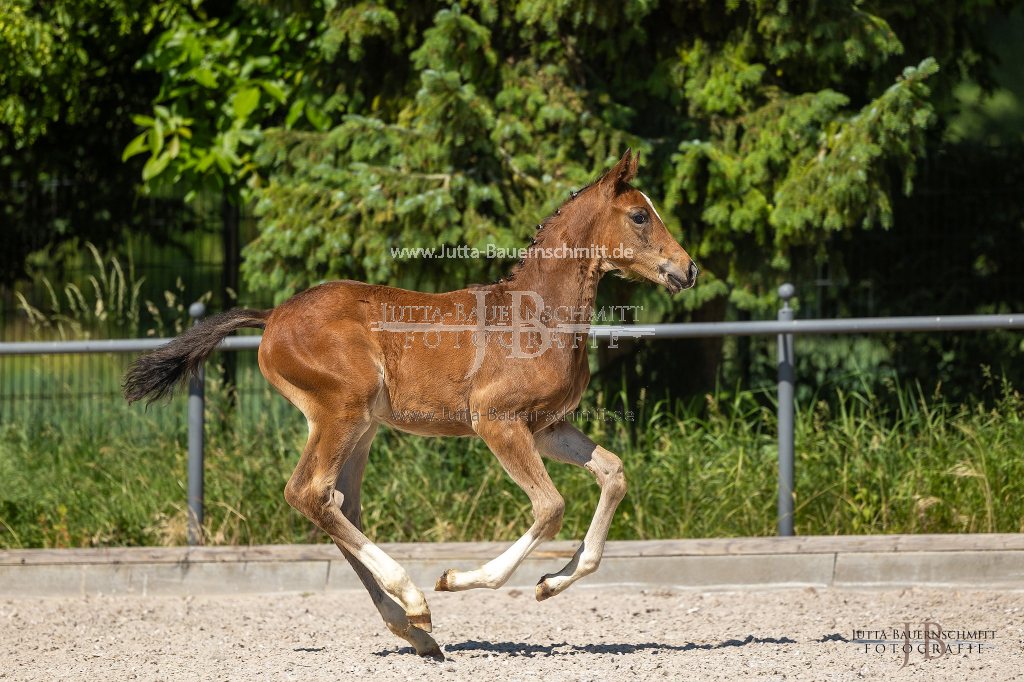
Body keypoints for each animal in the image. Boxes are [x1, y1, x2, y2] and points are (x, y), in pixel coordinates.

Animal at [119, 147, 696, 655]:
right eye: (640, 215)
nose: (688, 269)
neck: (538, 315)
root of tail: (273, 316)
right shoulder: (497, 423)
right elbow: (549, 507)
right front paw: (457, 579)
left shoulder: (546, 427)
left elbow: (613, 473)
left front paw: (552, 582)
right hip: (342, 411)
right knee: (309, 493)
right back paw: (415, 598)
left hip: (361, 426)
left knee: (338, 503)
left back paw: (414, 631)